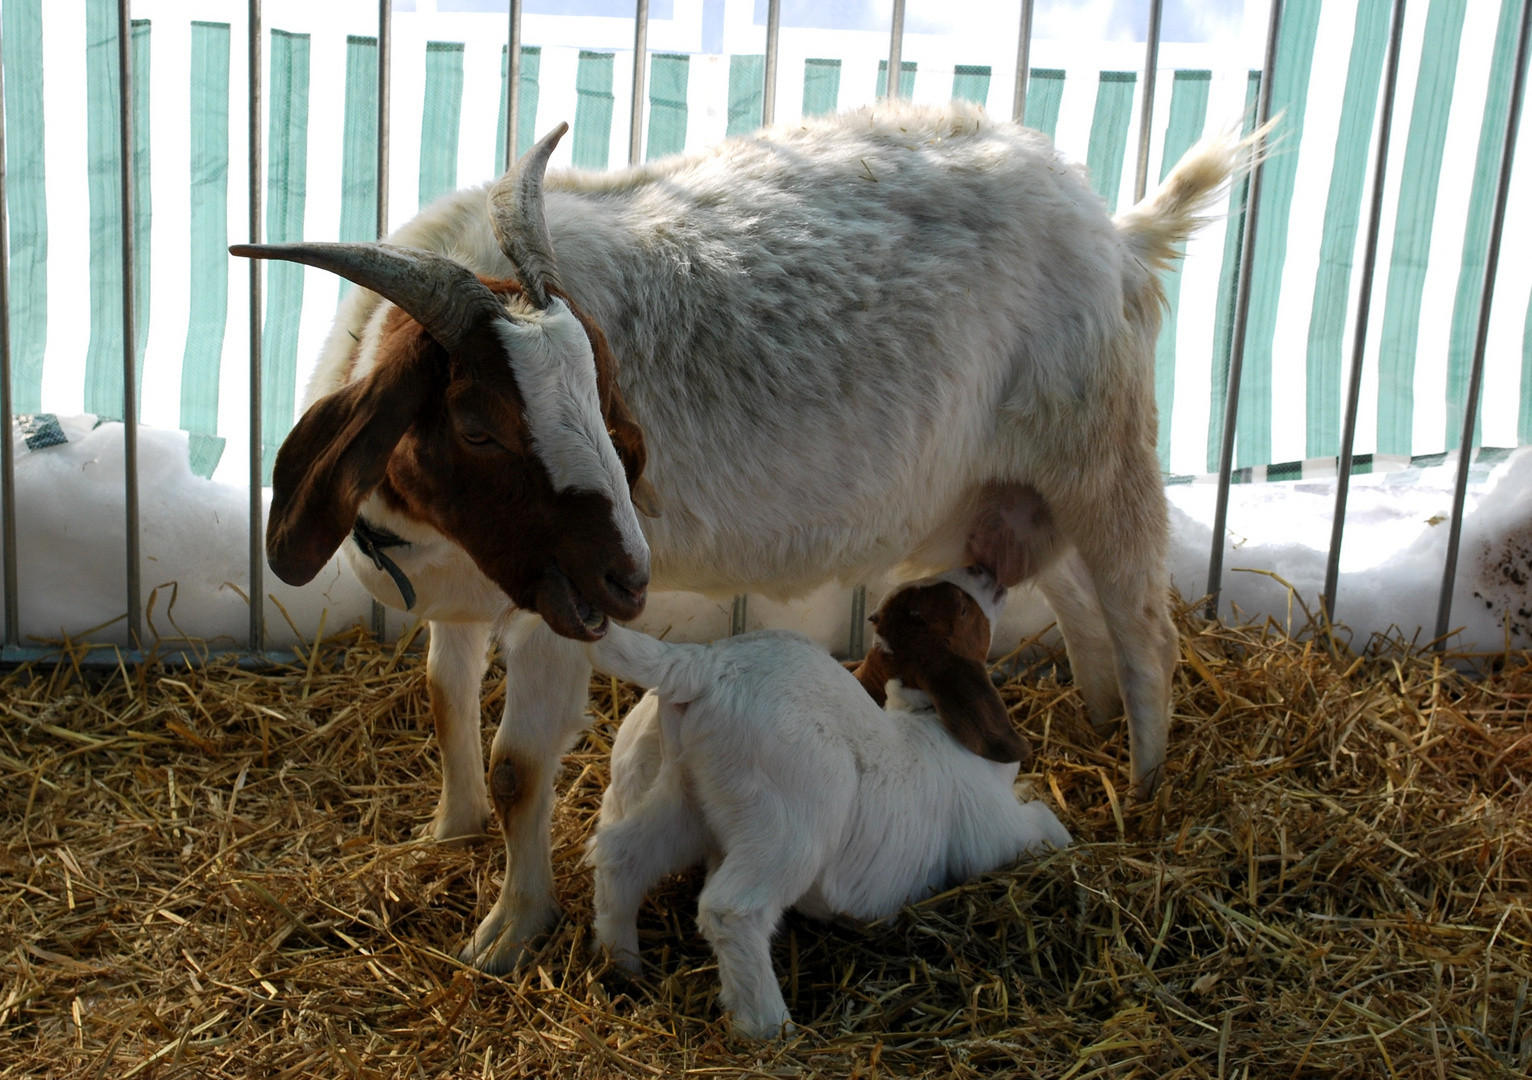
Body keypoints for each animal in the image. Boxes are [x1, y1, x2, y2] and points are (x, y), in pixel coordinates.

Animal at [242, 105, 1268, 974]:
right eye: (476, 425)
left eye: (605, 394)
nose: (627, 580)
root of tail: (1119, 231)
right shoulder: (471, 590)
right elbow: (443, 696)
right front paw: (447, 829)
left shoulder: (550, 608)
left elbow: (517, 768)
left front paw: (511, 927)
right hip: (1002, 495)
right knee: (1075, 608)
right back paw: (1089, 726)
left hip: (1102, 456)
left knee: (1145, 631)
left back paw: (1143, 789)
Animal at [579, 569, 1072, 1041]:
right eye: (962, 608)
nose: (988, 574)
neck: (927, 719)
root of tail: (705, 665)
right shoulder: (997, 833)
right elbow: (1045, 824)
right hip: (789, 826)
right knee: (732, 909)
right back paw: (768, 1027)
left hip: (686, 798)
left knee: (622, 855)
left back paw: (620, 963)